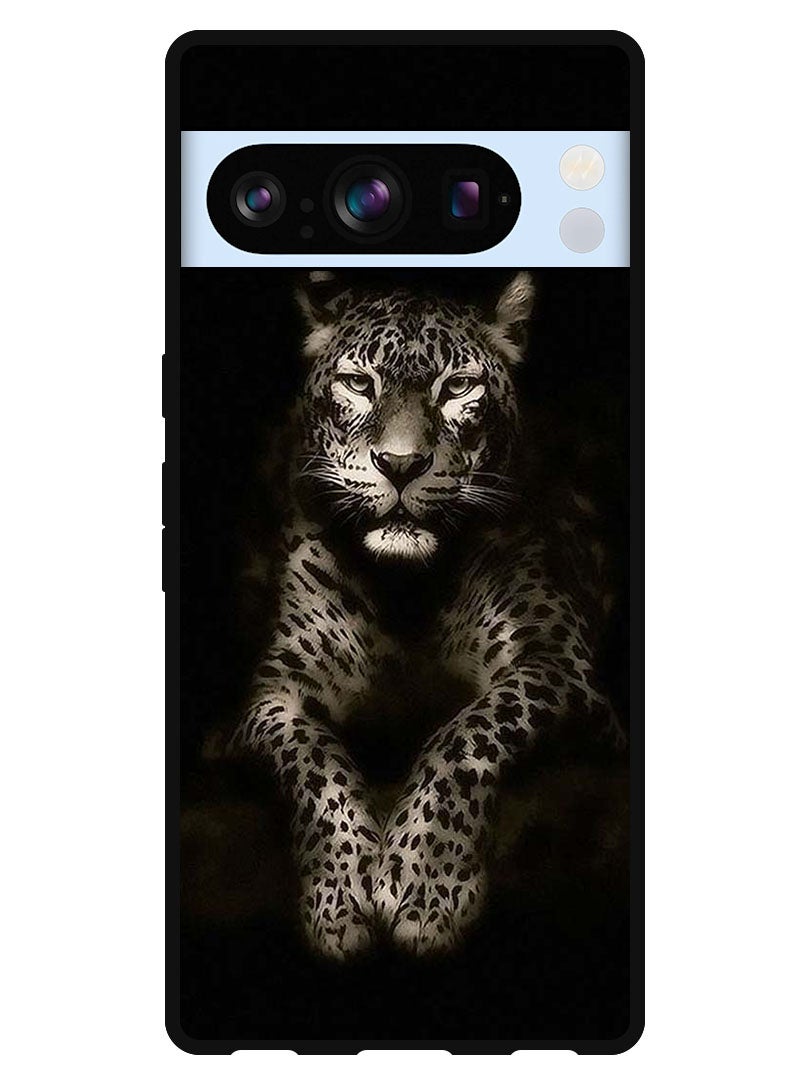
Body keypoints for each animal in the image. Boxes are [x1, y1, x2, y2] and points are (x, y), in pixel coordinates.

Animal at [226, 270, 625, 959]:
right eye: (360, 384)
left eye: (457, 387)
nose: (401, 465)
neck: (406, 592)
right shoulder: (274, 694)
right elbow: (313, 760)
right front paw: (340, 895)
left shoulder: (558, 662)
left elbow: (466, 734)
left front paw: (424, 884)